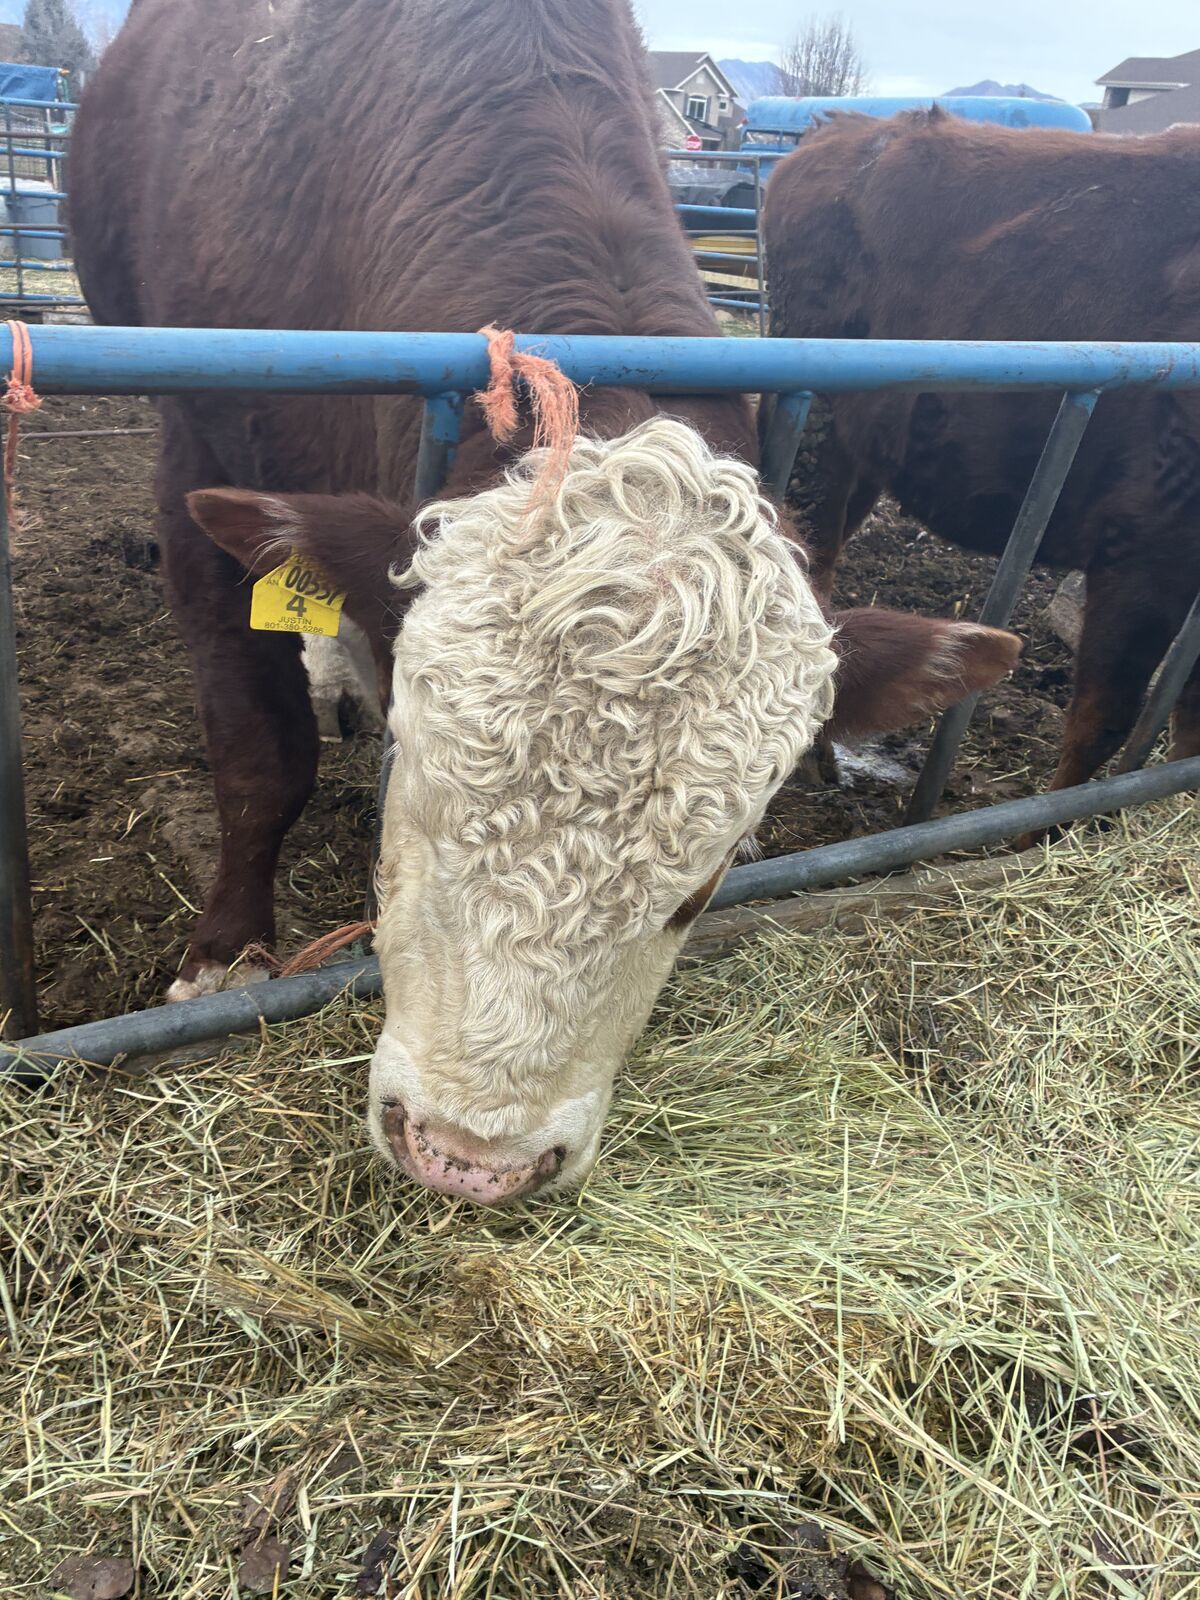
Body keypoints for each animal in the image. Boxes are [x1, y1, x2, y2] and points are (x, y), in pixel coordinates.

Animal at [69, 2, 1017, 1202]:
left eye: (699, 886)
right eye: (413, 804)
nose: (472, 1161)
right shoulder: (196, 458)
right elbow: (259, 751)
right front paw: (228, 954)